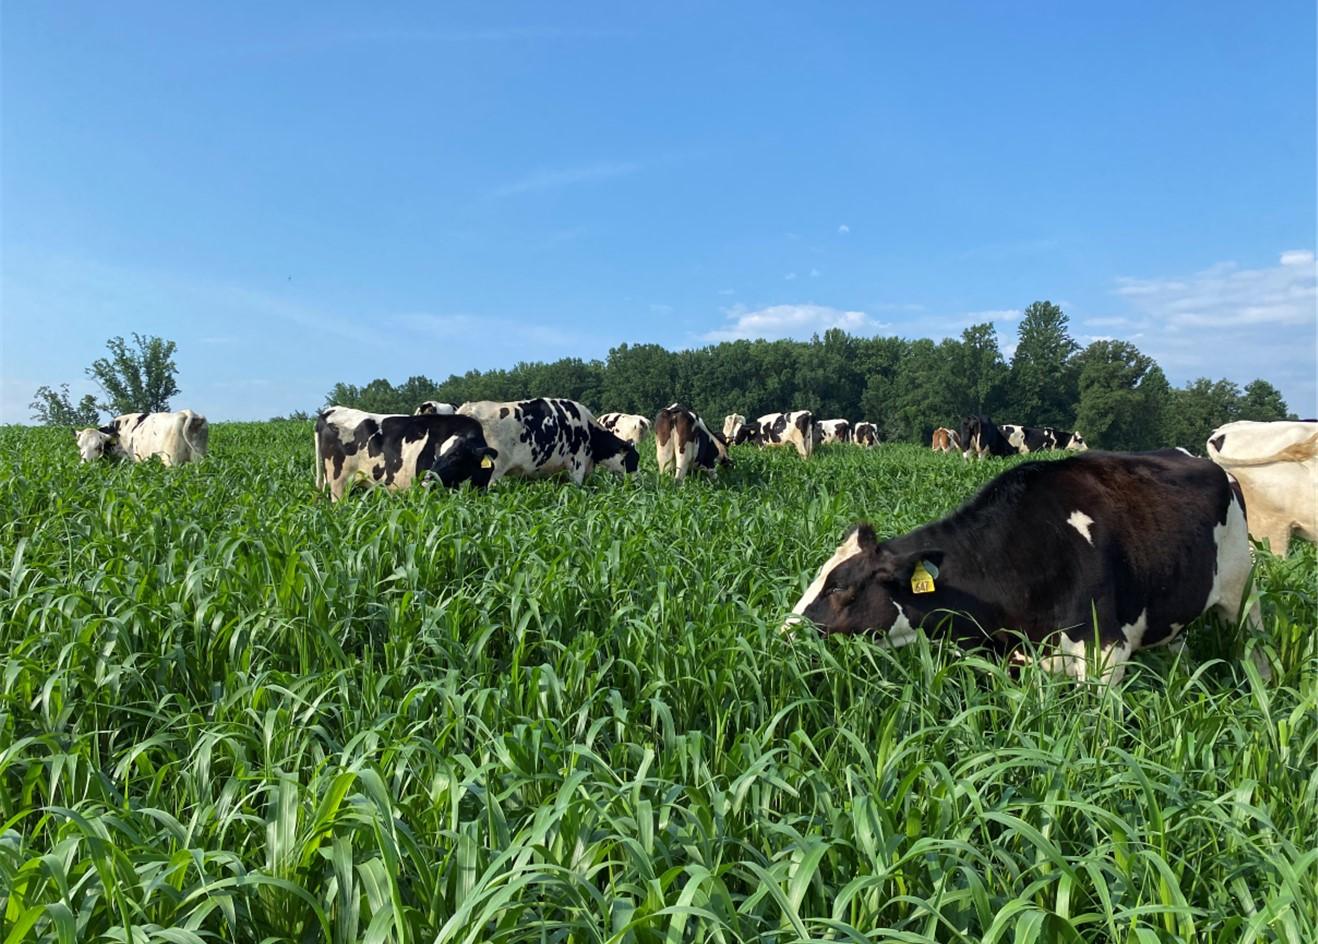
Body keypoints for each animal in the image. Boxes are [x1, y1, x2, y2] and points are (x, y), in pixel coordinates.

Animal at [76, 408, 209, 464]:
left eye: (98, 447)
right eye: (80, 446)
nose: (84, 464)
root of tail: (186, 413)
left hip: (172, 461)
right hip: (198, 459)